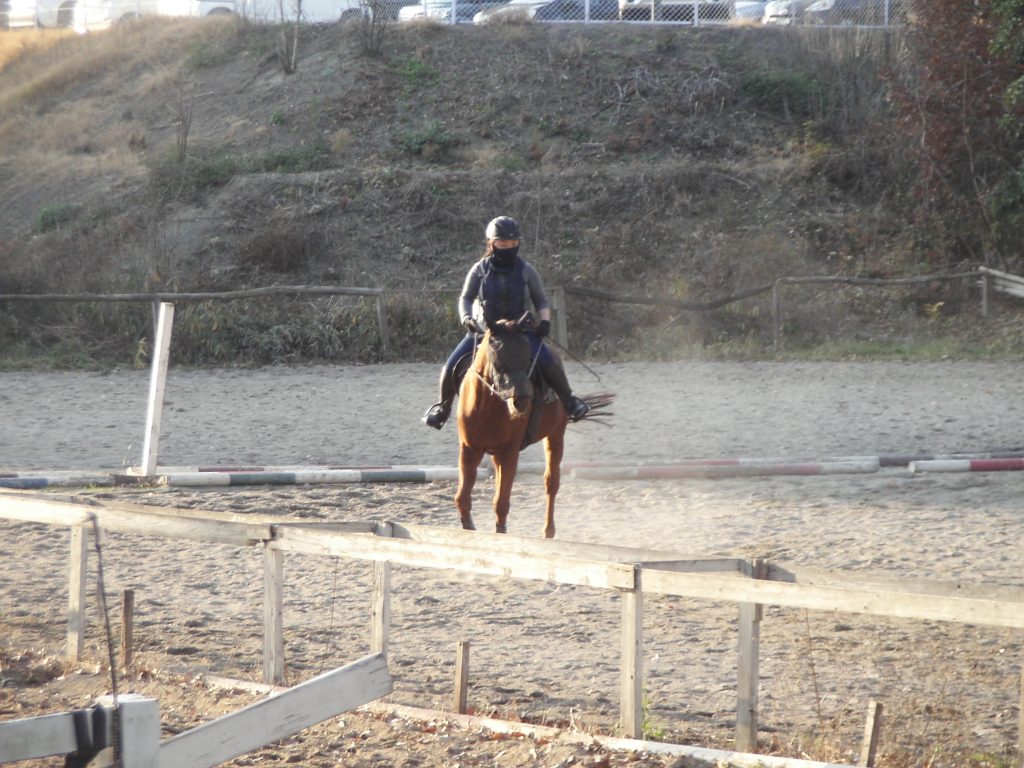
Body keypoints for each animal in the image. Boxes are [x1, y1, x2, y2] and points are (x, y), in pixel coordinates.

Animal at [454, 324, 610, 538]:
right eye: (499, 358)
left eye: (527, 357)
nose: (522, 400)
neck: (487, 405)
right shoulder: (469, 449)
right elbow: (462, 497)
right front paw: (468, 527)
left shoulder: (510, 451)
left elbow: (501, 502)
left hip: (555, 435)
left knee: (551, 482)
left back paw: (548, 530)